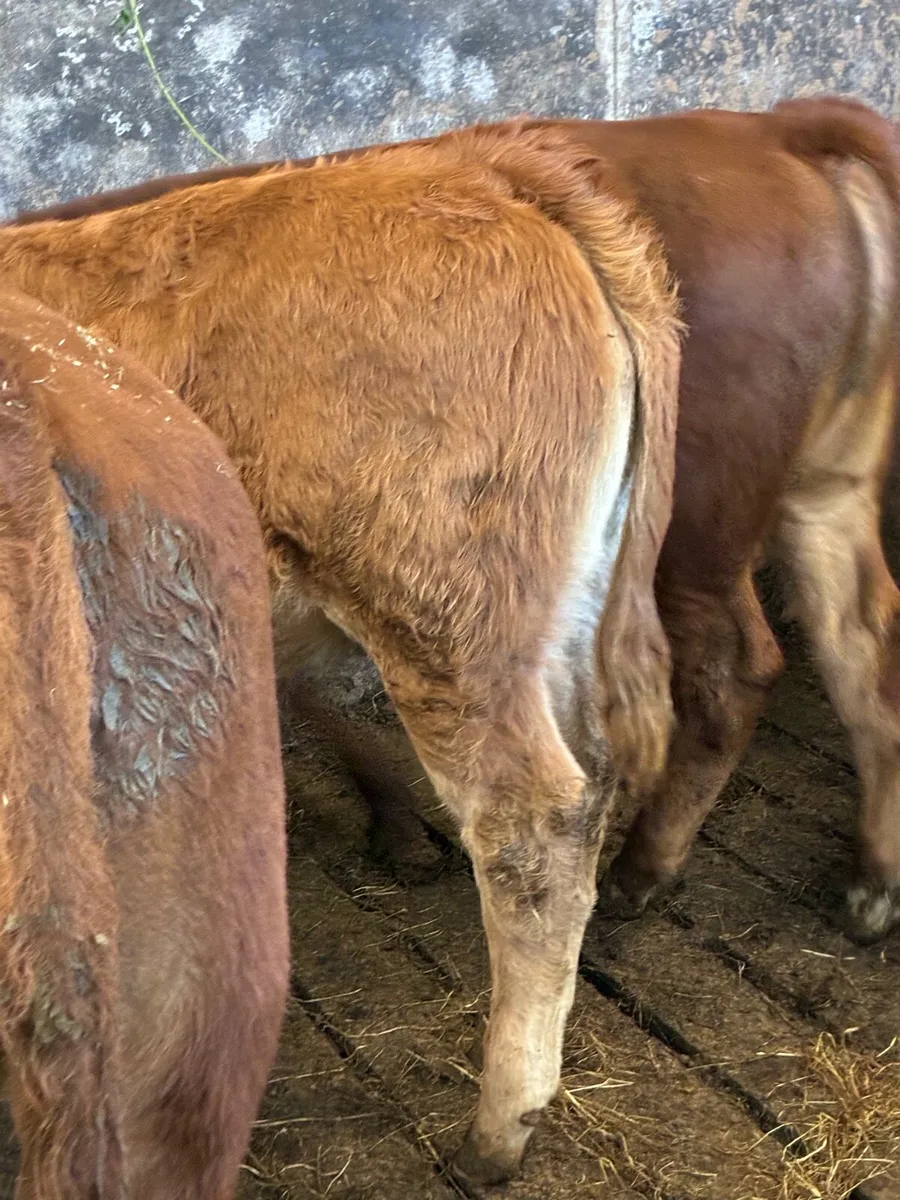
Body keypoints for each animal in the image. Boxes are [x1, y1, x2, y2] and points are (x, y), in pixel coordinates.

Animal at [26, 95, 900, 945]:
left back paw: (643, 870)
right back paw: (871, 887)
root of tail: (773, 128)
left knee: (727, 676)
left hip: (679, 537)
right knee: (861, 640)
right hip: (821, 489)